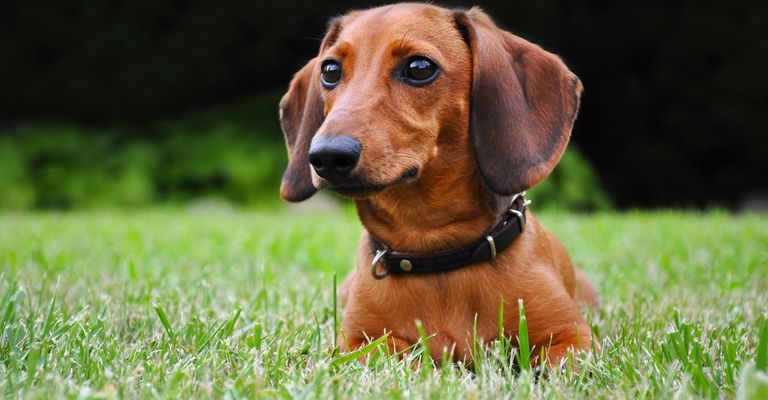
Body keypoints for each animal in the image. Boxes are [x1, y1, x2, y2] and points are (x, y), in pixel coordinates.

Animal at [278, 3, 600, 366]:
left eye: (420, 68)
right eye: (330, 70)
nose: (328, 156)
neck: (436, 254)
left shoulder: (572, 338)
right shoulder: (357, 342)